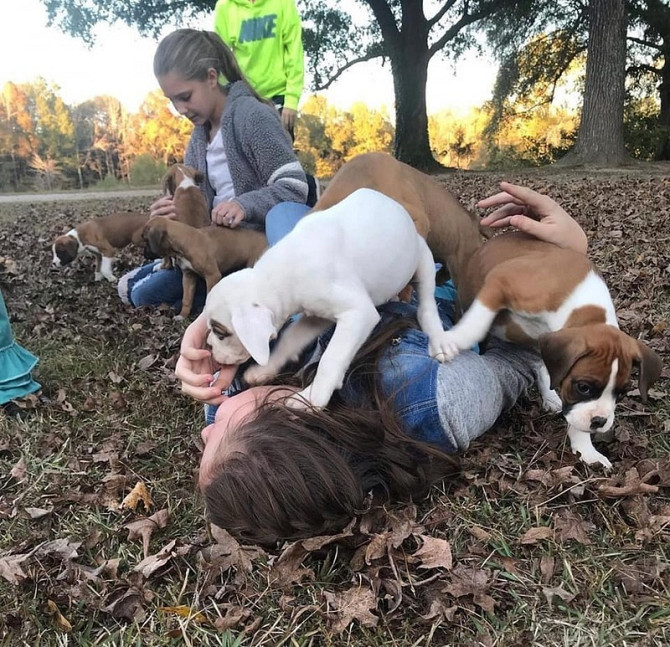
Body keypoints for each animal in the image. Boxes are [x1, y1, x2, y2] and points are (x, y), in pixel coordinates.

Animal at [205, 189, 454, 410]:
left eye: (220, 333)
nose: (208, 345)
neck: (278, 274)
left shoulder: (358, 314)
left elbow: (331, 358)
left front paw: (312, 397)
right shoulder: (316, 316)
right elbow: (290, 338)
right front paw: (265, 370)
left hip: (423, 260)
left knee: (427, 304)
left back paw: (439, 339)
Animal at [438, 230, 664, 468]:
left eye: (620, 393)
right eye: (583, 387)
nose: (599, 421)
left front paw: (586, 450)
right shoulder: (500, 282)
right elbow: (478, 319)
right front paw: (452, 341)